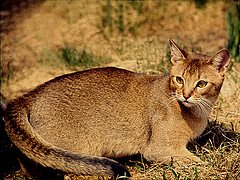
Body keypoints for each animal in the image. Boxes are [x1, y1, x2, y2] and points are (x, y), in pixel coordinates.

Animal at [2, 38, 231, 178]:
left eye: (201, 83)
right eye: (179, 79)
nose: (186, 95)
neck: (196, 113)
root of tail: (27, 96)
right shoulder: (159, 149)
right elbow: (200, 162)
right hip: (76, 148)